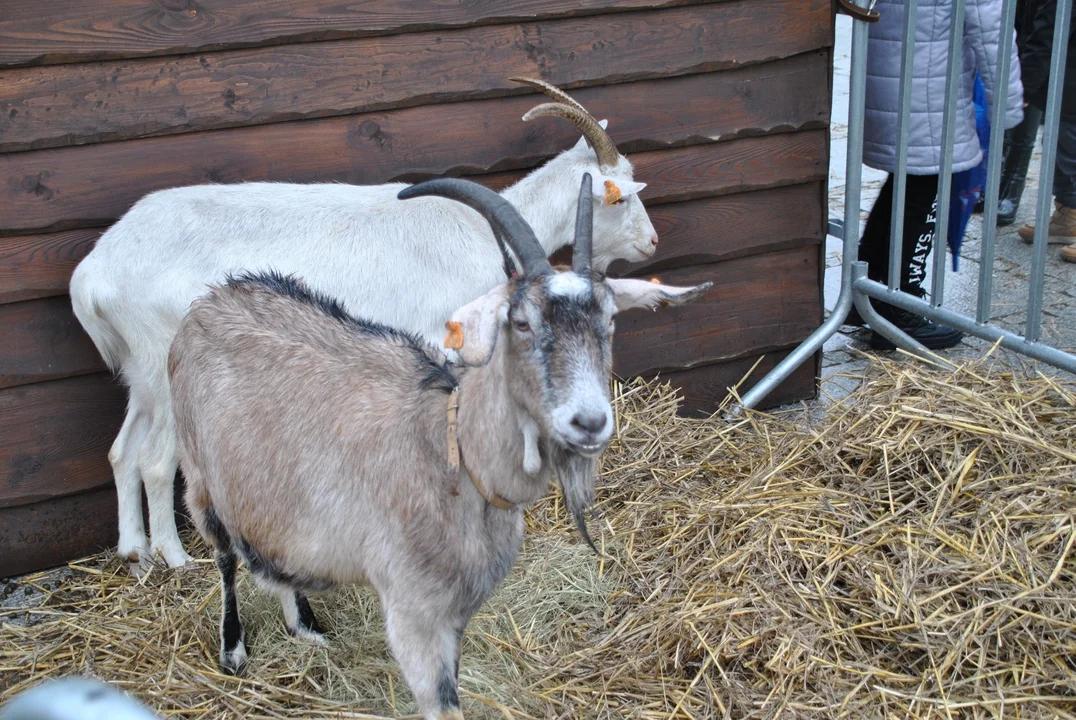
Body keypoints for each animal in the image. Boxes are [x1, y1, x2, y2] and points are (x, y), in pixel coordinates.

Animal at [69, 78, 654, 568]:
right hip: (169, 366)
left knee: (122, 450)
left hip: (140, 370)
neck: (487, 227)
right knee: (153, 460)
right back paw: (175, 558)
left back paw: (134, 551)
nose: (651, 242)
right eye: (622, 196)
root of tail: (93, 273)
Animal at [165, 174, 705, 718]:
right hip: (199, 475)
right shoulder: (414, 613)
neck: (454, 455)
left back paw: (306, 625)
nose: (589, 421)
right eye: (521, 321)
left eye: (611, 319)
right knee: (225, 556)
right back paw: (233, 648)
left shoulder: (455, 612)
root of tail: (209, 301)